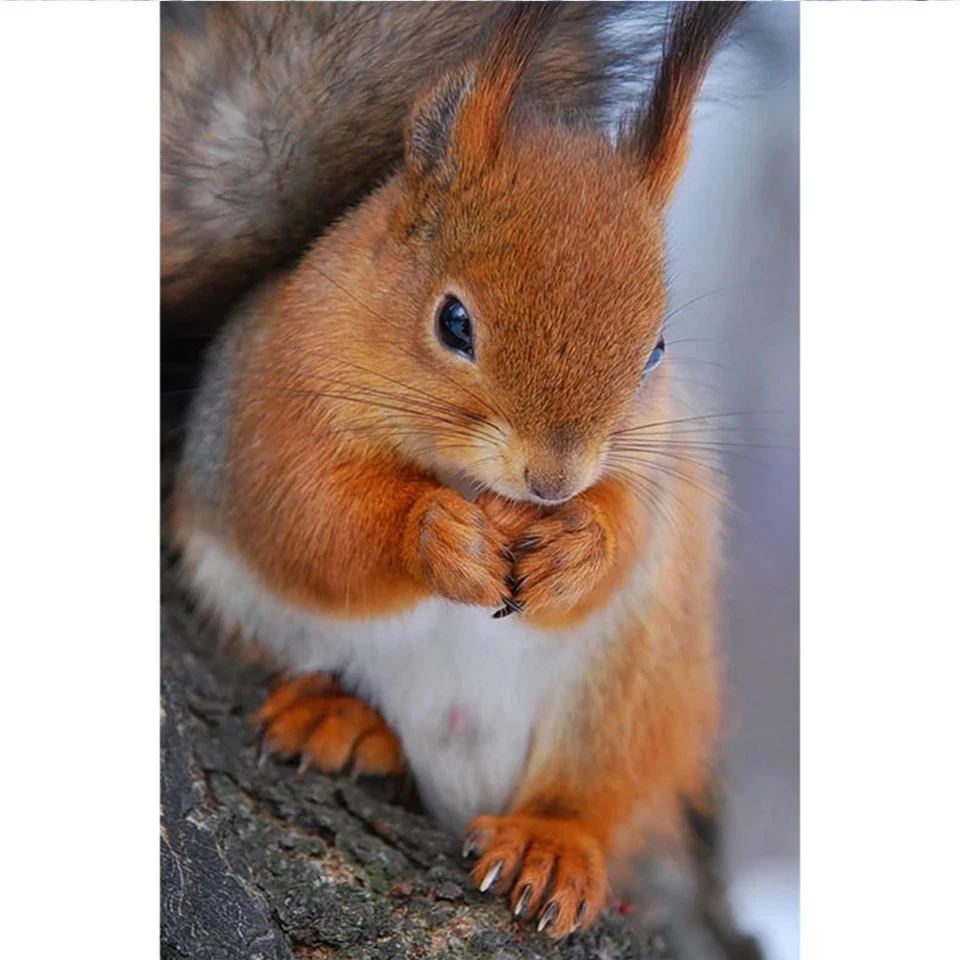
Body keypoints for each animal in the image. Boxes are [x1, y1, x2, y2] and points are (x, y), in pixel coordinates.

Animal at [167, 0, 746, 940]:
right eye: (454, 322)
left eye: (656, 349)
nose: (552, 480)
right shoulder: (262, 408)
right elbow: (302, 516)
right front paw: (437, 535)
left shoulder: (658, 467)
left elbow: (627, 526)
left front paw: (578, 543)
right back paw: (342, 717)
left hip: (637, 691)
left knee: (595, 795)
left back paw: (549, 843)